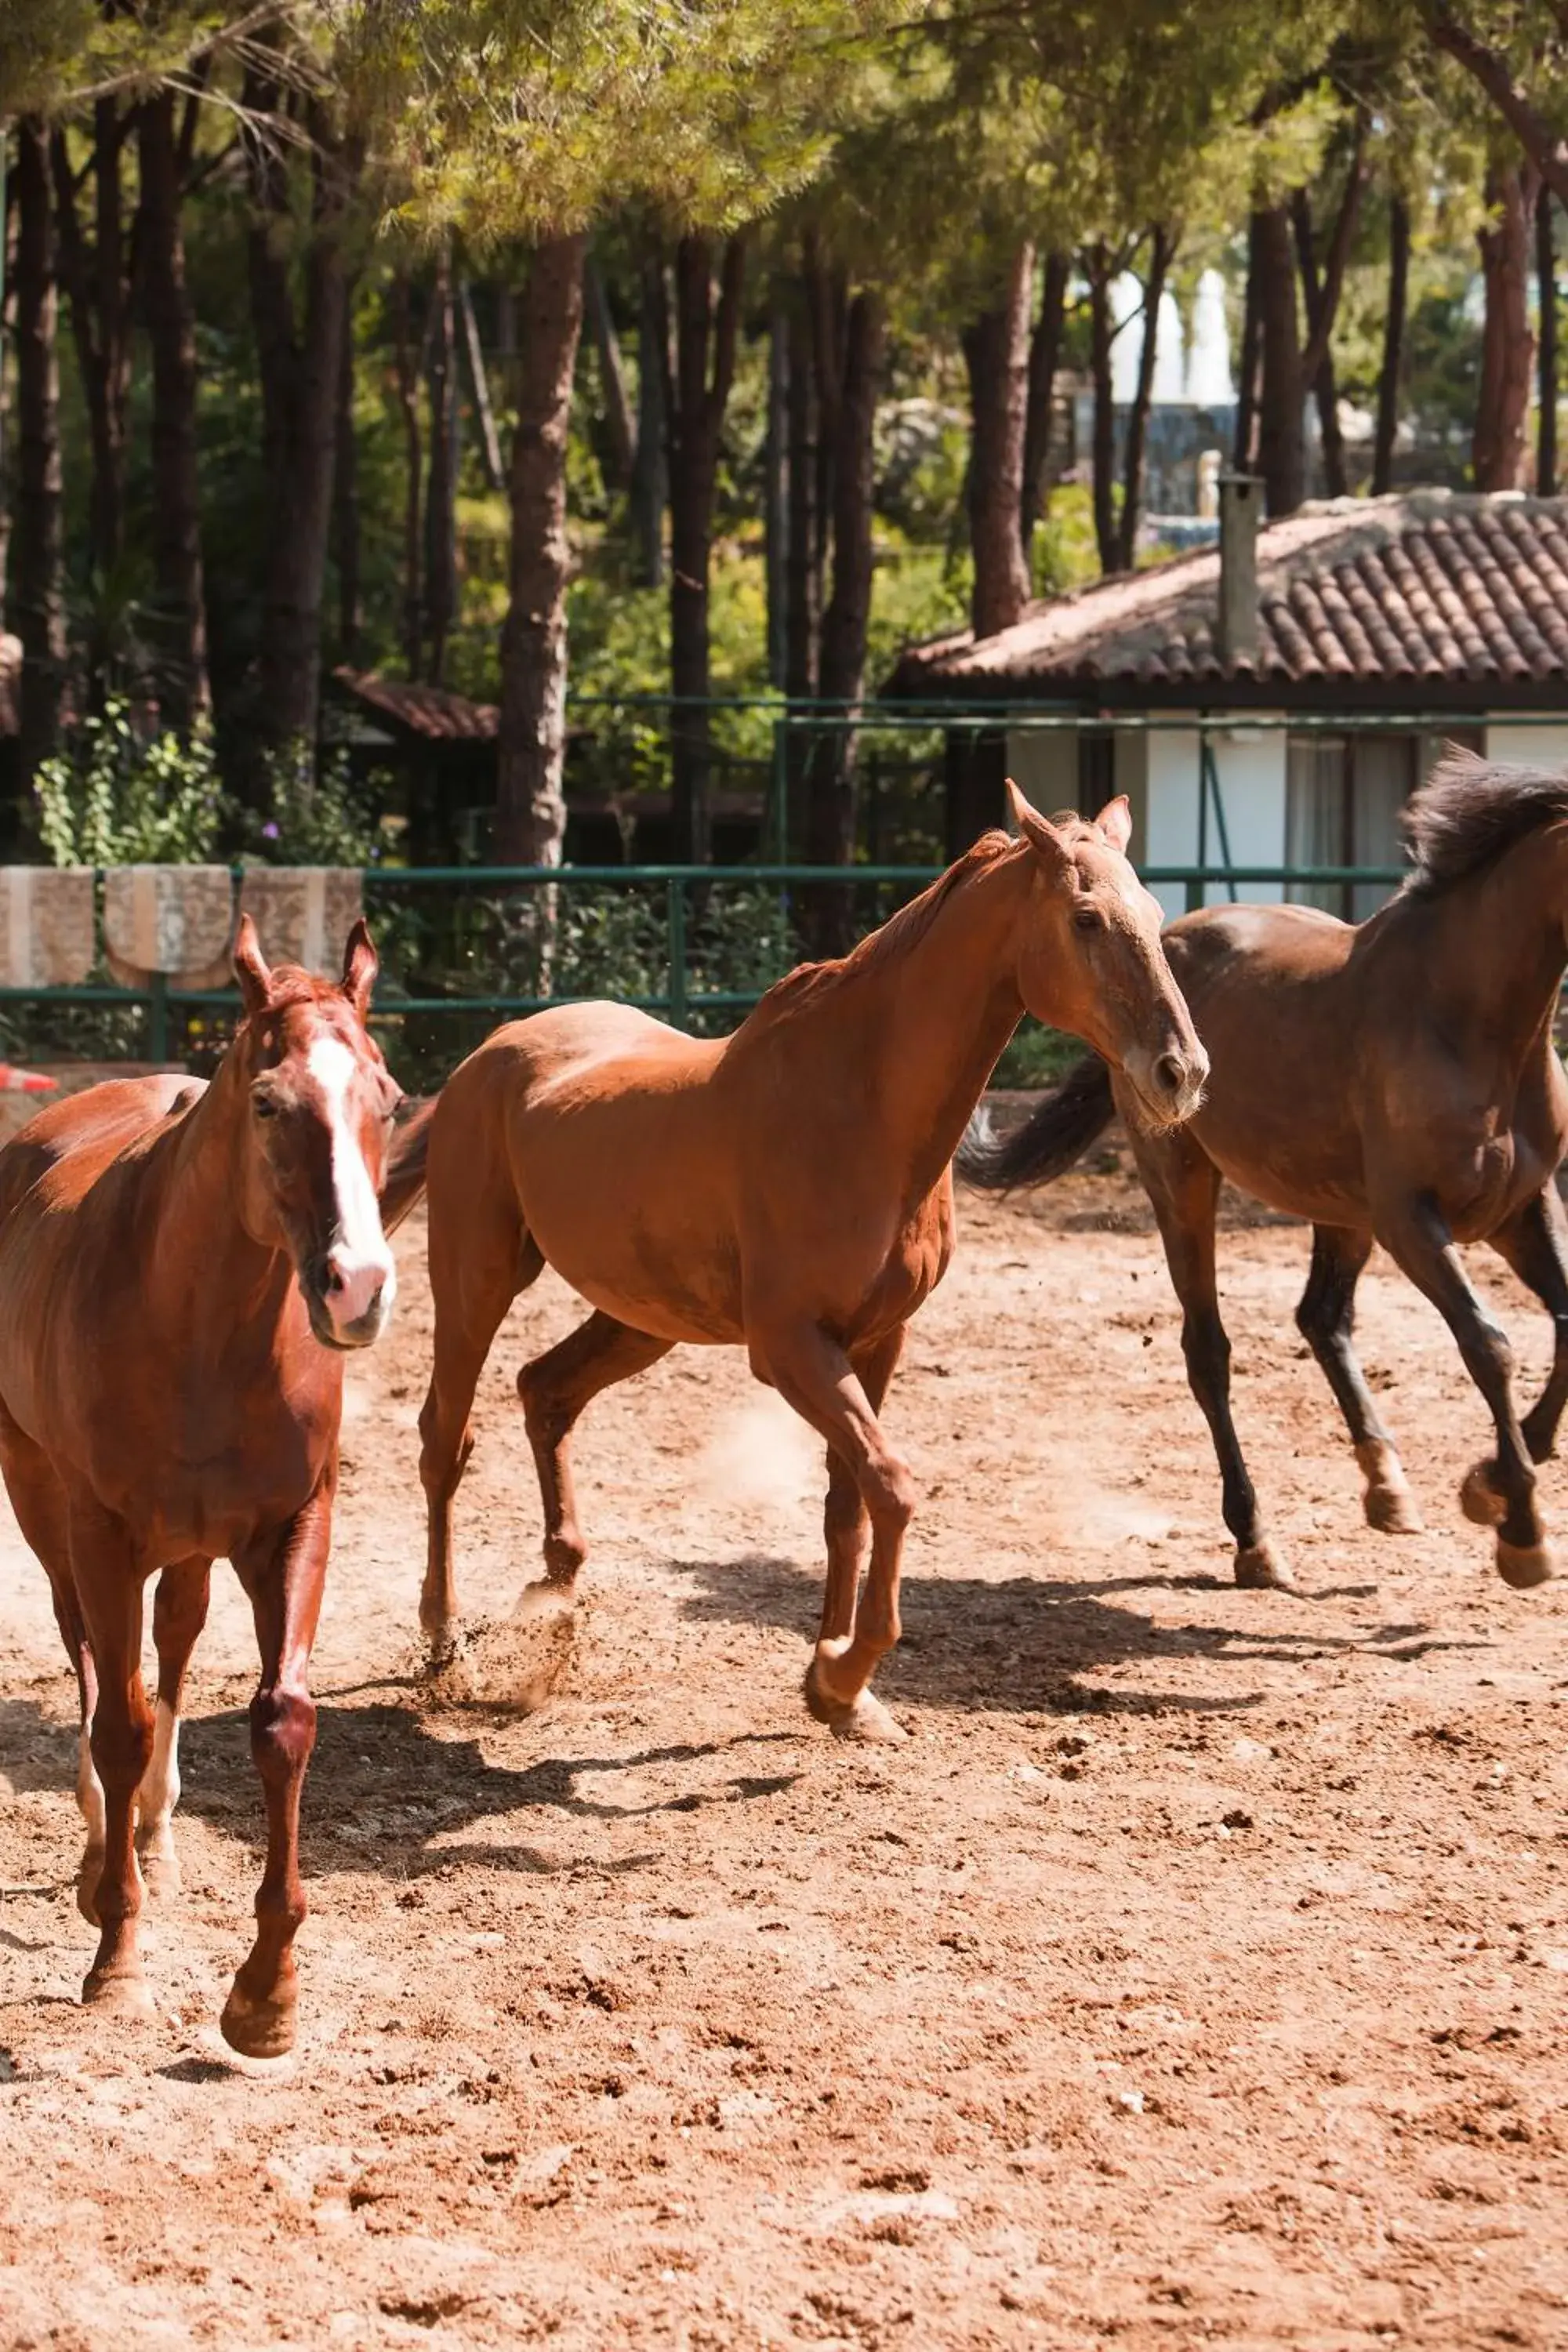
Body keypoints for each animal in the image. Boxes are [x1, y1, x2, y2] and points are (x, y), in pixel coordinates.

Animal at [0, 917, 430, 2060]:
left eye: (387, 1098)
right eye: (269, 1102)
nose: (359, 1290)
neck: (199, 1329)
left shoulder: (296, 1525)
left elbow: (282, 1721)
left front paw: (268, 1993)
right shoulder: (102, 1532)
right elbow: (116, 1724)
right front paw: (117, 1958)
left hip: (189, 1548)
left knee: (177, 1646)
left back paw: (155, 1832)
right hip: (47, 1507)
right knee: (91, 1660)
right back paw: (104, 1852)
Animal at [416, 800, 1213, 1740]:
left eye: (1156, 919)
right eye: (1085, 919)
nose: (1182, 1073)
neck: (860, 1109)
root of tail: (492, 1050)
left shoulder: (875, 1342)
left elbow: (848, 1505)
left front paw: (838, 1692)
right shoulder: (791, 1348)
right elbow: (893, 1487)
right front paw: (844, 1670)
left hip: (641, 1320)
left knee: (545, 1390)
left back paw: (556, 1587)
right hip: (474, 1283)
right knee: (445, 1438)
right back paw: (444, 1642)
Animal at [959, 753, 1568, 1599]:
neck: (1473, 1022)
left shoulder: (1521, 1208)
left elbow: (1561, 1326)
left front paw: (1502, 1475)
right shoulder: (1413, 1219)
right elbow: (1489, 1344)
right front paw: (1515, 1522)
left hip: (1338, 1209)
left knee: (1321, 1318)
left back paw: (1387, 1487)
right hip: (1184, 1182)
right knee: (1209, 1350)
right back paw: (1255, 1540)